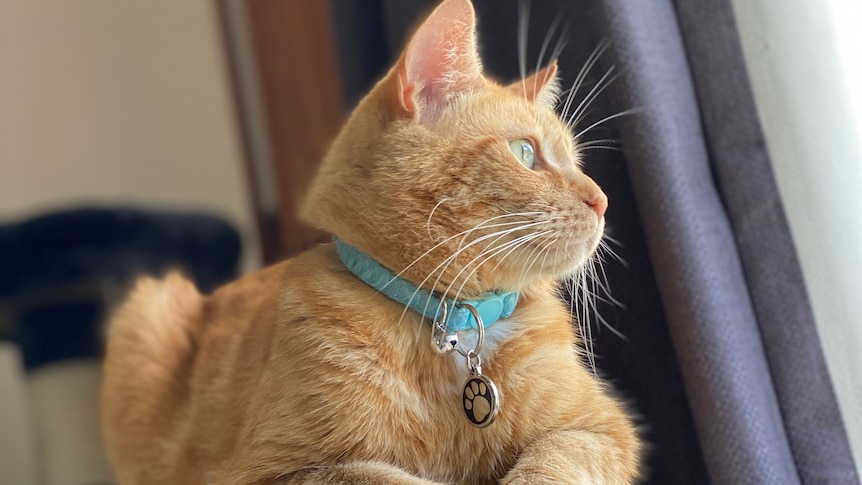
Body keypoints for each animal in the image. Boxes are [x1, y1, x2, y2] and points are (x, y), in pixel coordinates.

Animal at [99, 1, 640, 482]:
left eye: (577, 161)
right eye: (525, 153)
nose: (602, 200)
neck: (453, 324)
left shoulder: (599, 432)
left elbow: (554, 460)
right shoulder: (278, 472)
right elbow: (386, 476)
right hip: (146, 311)